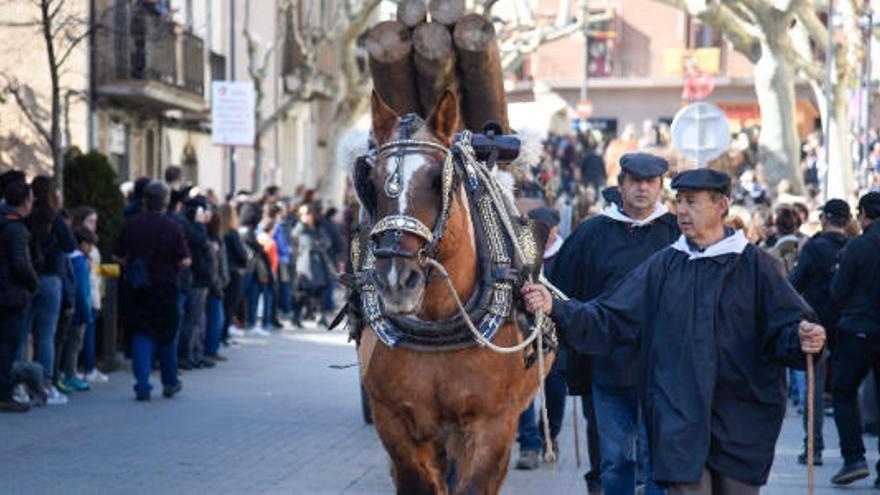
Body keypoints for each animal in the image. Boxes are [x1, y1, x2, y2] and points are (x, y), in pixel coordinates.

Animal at [354, 90, 552, 495]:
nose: (396, 280)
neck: (438, 322)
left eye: (437, 180)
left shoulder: (493, 426)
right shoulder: (395, 424)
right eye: (374, 182)